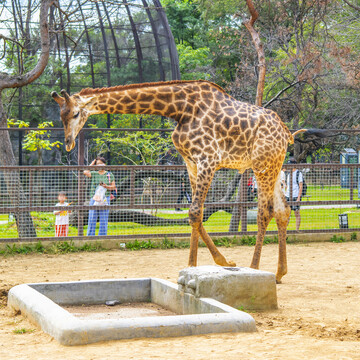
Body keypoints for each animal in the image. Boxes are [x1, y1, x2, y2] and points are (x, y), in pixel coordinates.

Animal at [51, 80, 304, 282]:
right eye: (61, 115)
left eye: (75, 113)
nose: (68, 143)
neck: (180, 109)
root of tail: (285, 133)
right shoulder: (191, 163)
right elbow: (196, 215)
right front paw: (199, 265)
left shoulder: (208, 159)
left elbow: (194, 212)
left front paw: (218, 263)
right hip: (274, 165)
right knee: (283, 210)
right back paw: (279, 273)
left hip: (263, 165)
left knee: (264, 211)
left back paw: (254, 268)